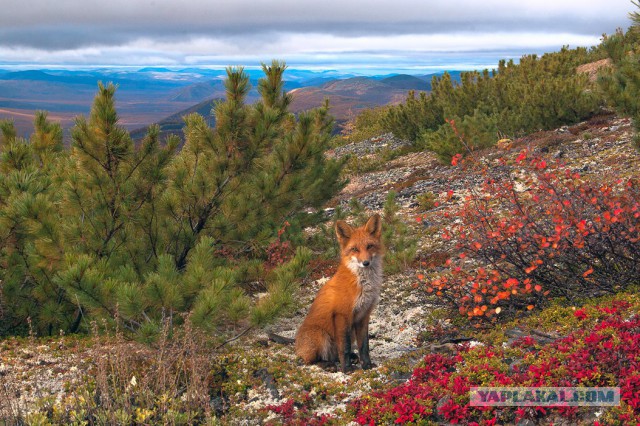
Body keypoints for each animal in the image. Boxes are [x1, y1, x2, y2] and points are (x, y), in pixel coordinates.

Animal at [296, 215, 384, 372]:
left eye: (369, 246)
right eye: (354, 249)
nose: (365, 263)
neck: (364, 285)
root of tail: (296, 345)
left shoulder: (364, 316)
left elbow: (364, 346)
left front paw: (367, 365)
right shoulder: (343, 315)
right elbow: (345, 347)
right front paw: (347, 369)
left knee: (334, 355)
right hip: (321, 336)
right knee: (310, 360)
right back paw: (327, 365)